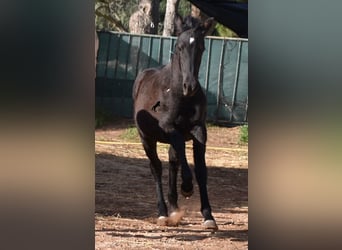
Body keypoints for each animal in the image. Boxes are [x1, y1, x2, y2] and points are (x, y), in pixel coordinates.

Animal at [132, 16, 218, 230]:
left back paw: (174, 208)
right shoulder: (169, 128)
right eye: (179, 47)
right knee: (156, 168)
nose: (190, 86)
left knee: (173, 162)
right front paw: (186, 187)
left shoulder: (199, 130)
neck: (180, 95)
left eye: (201, 47)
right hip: (146, 139)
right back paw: (163, 213)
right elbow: (180, 154)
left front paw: (208, 216)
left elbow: (201, 170)